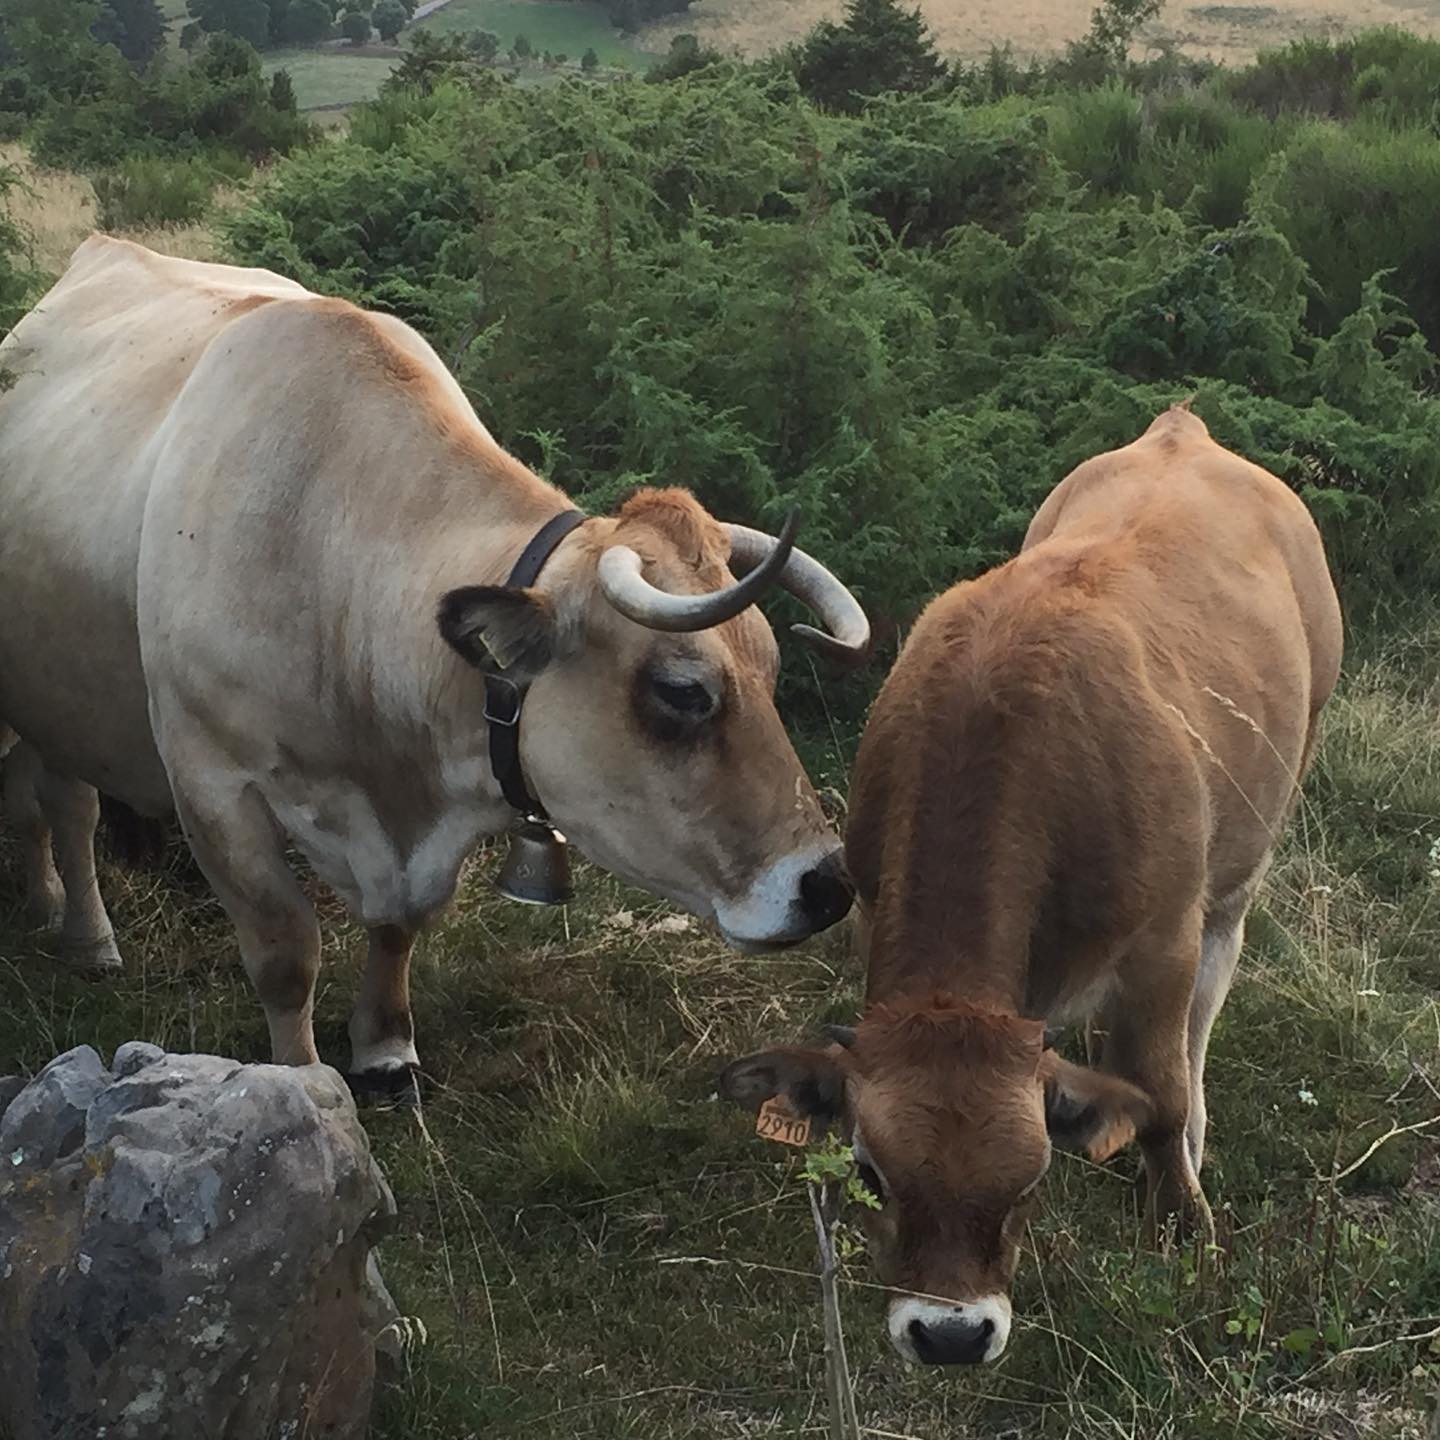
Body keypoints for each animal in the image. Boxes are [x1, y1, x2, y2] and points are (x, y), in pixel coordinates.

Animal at [0, 236, 870, 1093]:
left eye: (771, 667)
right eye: (682, 691)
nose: (829, 883)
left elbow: (399, 928)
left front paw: (386, 1045)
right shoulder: (212, 782)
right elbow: (286, 952)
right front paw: (305, 1085)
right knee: (65, 808)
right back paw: (86, 935)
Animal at [720, 406, 1343, 1365]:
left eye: (1029, 1179)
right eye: (870, 1171)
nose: (949, 1335)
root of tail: (1184, 428)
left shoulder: (1161, 942)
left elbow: (1162, 1093)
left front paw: (1182, 1220)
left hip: (1256, 839)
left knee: (1210, 991)